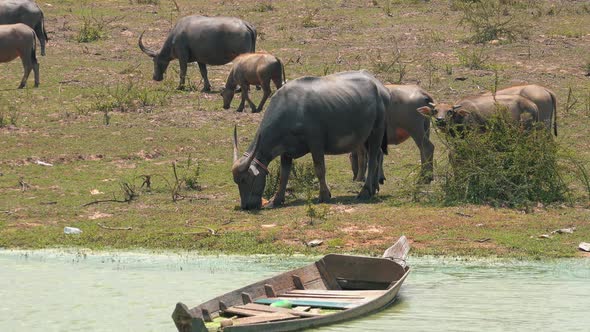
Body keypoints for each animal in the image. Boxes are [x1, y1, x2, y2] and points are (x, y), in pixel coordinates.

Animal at [232, 70, 394, 210]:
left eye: (245, 180)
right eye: (236, 182)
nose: (246, 206)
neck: (292, 110)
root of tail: (380, 88)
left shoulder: (316, 144)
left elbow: (319, 169)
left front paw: (324, 195)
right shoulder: (286, 151)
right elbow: (284, 175)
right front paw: (276, 199)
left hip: (376, 132)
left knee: (372, 160)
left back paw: (365, 191)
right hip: (364, 138)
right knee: (377, 155)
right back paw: (374, 187)